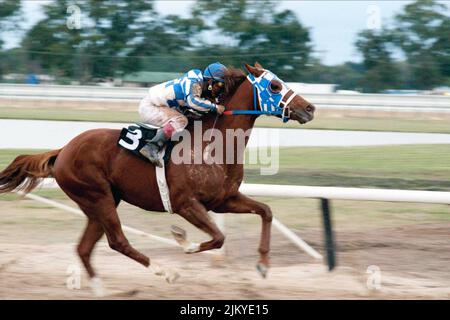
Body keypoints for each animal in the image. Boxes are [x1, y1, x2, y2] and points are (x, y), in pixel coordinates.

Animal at [0, 62, 314, 296]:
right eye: (274, 86)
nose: (310, 108)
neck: (214, 144)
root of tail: (63, 150)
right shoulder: (185, 203)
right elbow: (217, 237)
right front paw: (183, 241)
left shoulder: (224, 199)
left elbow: (265, 211)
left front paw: (263, 265)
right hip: (98, 197)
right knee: (118, 242)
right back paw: (166, 271)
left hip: (99, 202)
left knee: (85, 248)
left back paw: (102, 289)